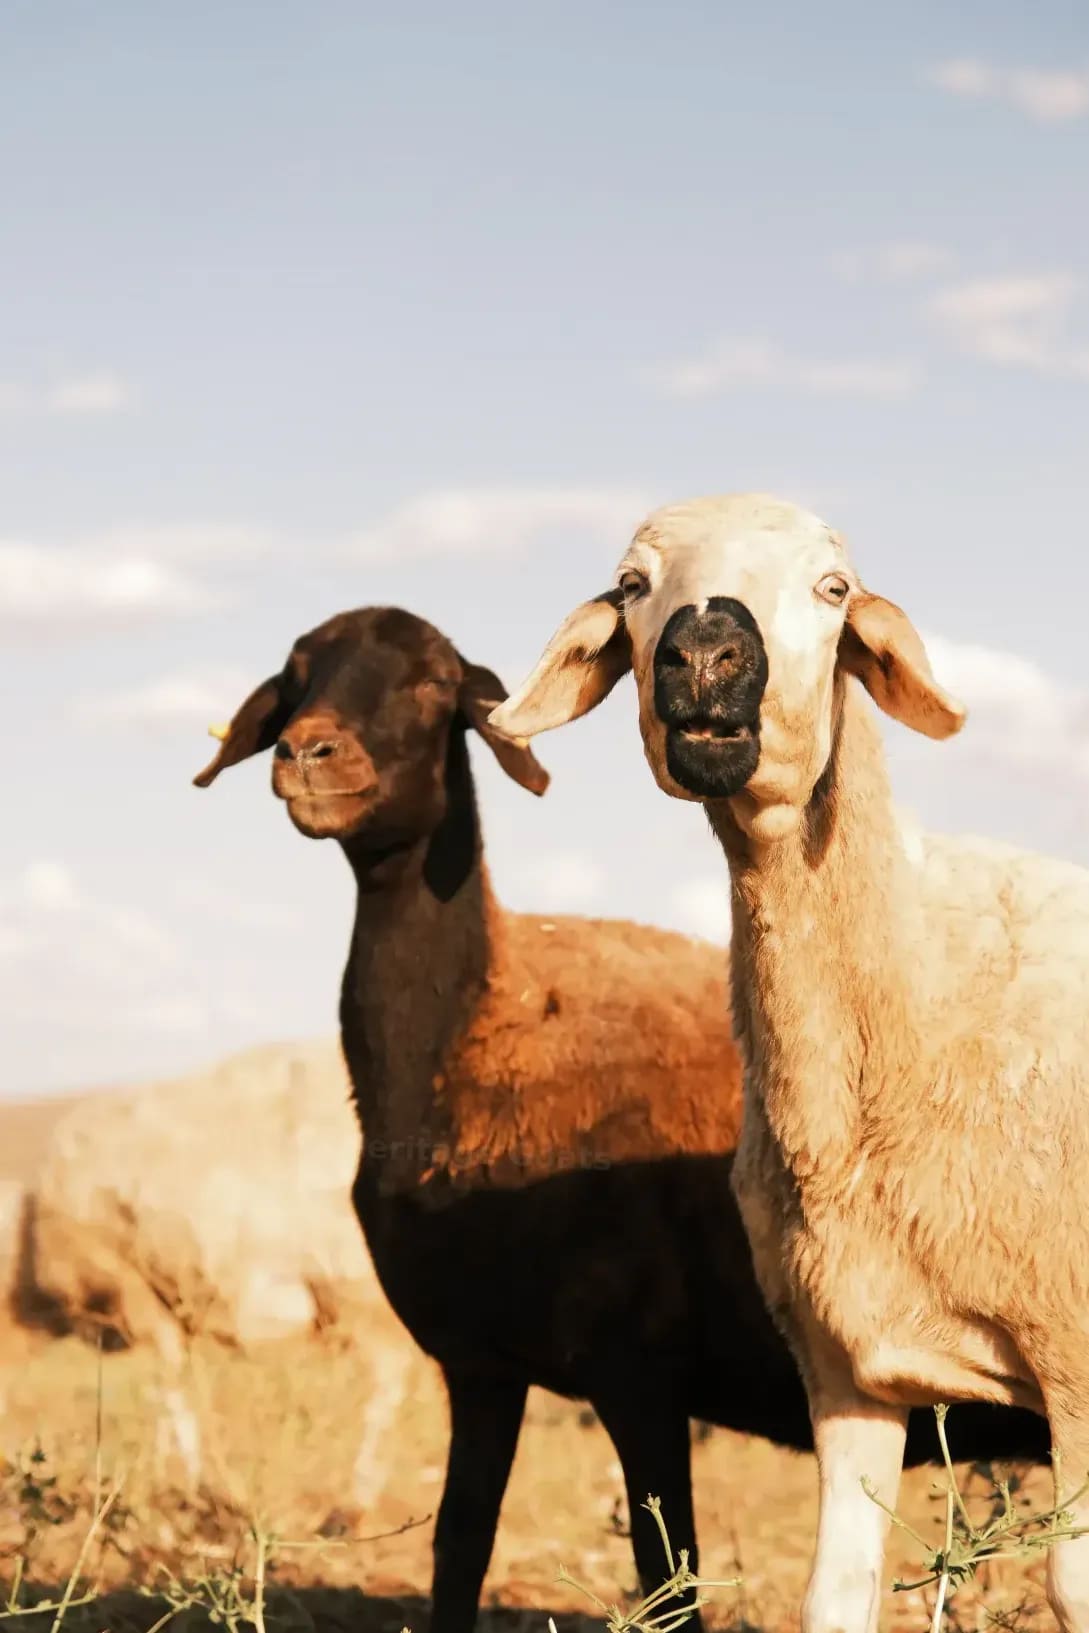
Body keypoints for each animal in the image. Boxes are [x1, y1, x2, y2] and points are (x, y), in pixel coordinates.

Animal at [197, 603, 1048, 1633]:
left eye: (431, 685)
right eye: (294, 677)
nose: (309, 753)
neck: (472, 1040)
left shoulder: (636, 1371)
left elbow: (666, 1574)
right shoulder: (480, 1365)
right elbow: (459, 1545)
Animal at [489, 492, 1089, 1633]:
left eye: (833, 588)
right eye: (632, 586)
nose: (705, 653)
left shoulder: (1076, 1350)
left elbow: (1070, 1582)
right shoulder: (846, 1361)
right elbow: (835, 1592)